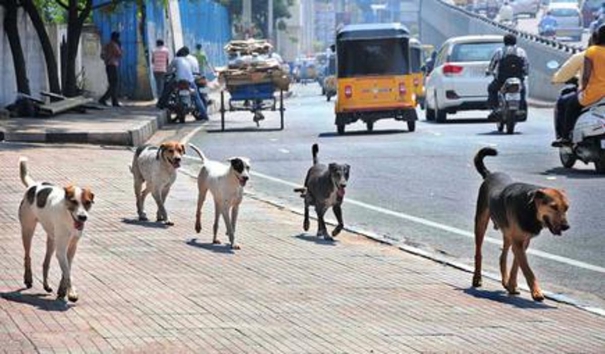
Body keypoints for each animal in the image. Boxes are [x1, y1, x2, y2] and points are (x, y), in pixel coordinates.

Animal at [17, 157, 94, 302]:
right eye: (74, 201)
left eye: (87, 202)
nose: (83, 217)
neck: (68, 218)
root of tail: (33, 186)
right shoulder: (61, 249)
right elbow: (68, 272)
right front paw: (72, 292)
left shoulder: (72, 246)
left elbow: (67, 269)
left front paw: (63, 290)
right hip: (27, 230)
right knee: (27, 256)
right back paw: (28, 278)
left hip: (52, 240)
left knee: (45, 263)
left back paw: (46, 285)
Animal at [472, 147, 572, 302]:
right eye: (554, 207)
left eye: (566, 208)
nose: (566, 227)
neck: (531, 209)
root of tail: (490, 175)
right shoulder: (518, 242)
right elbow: (528, 270)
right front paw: (536, 292)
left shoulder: (523, 242)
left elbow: (516, 265)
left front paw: (512, 285)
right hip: (480, 223)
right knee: (479, 252)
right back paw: (477, 278)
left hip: (507, 232)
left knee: (503, 256)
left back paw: (505, 281)